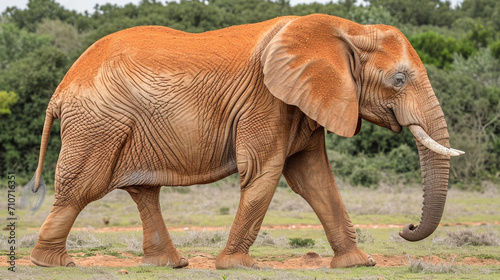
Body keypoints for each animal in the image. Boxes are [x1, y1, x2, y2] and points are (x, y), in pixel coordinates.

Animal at [21, 13, 462, 270]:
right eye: (399, 80)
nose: (406, 227)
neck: (347, 30)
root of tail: (60, 88)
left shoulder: (298, 102)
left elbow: (314, 178)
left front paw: (357, 265)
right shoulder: (266, 99)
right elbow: (264, 173)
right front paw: (237, 267)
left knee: (143, 191)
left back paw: (169, 265)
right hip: (98, 124)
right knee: (83, 187)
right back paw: (52, 264)